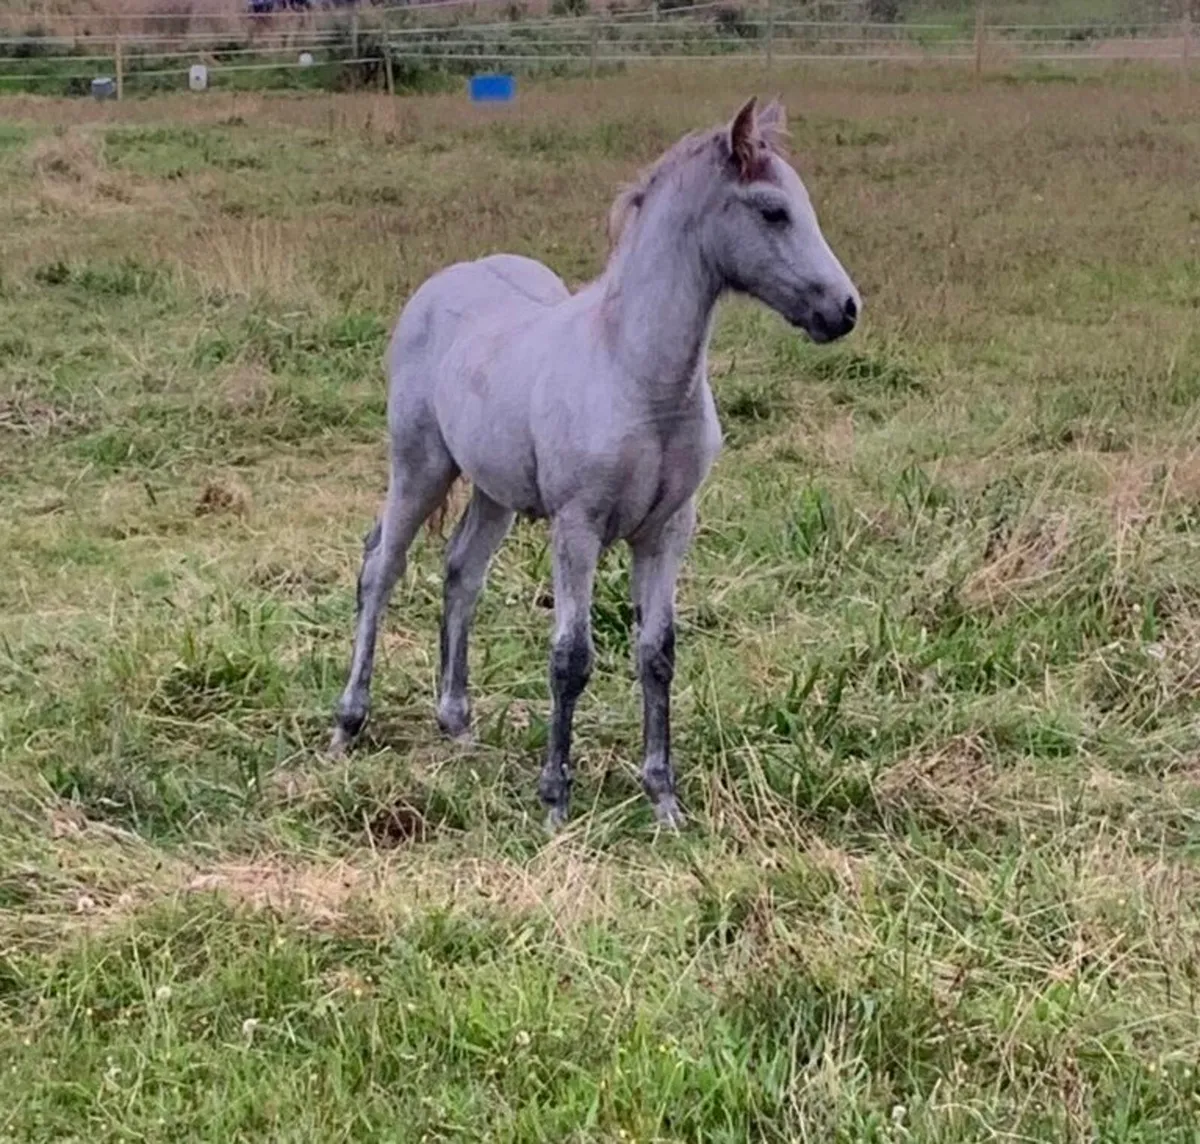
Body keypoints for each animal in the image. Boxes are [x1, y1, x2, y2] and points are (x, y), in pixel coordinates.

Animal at [329, 97, 861, 830]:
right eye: (773, 211)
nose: (844, 309)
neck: (636, 375)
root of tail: (444, 282)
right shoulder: (577, 526)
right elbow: (570, 657)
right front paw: (556, 798)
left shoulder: (667, 531)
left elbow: (657, 654)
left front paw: (664, 799)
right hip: (419, 466)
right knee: (381, 567)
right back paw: (348, 721)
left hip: (494, 491)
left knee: (462, 572)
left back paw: (457, 721)